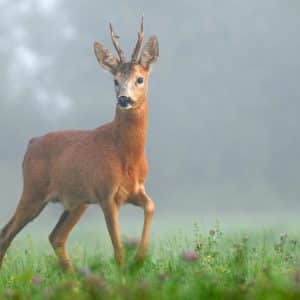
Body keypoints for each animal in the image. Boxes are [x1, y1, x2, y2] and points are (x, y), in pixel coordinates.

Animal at [0, 18, 158, 272]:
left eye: (140, 79)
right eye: (115, 81)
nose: (124, 99)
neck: (126, 155)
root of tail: (31, 143)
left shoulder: (135, 190)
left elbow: (151, 207)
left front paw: (140, 259)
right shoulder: (105, 192)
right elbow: (118, 249)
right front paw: (125, 272)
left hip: (76, 202)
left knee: (55, 236)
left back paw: (74, 277)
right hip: (33, 191)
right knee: (7, 233)